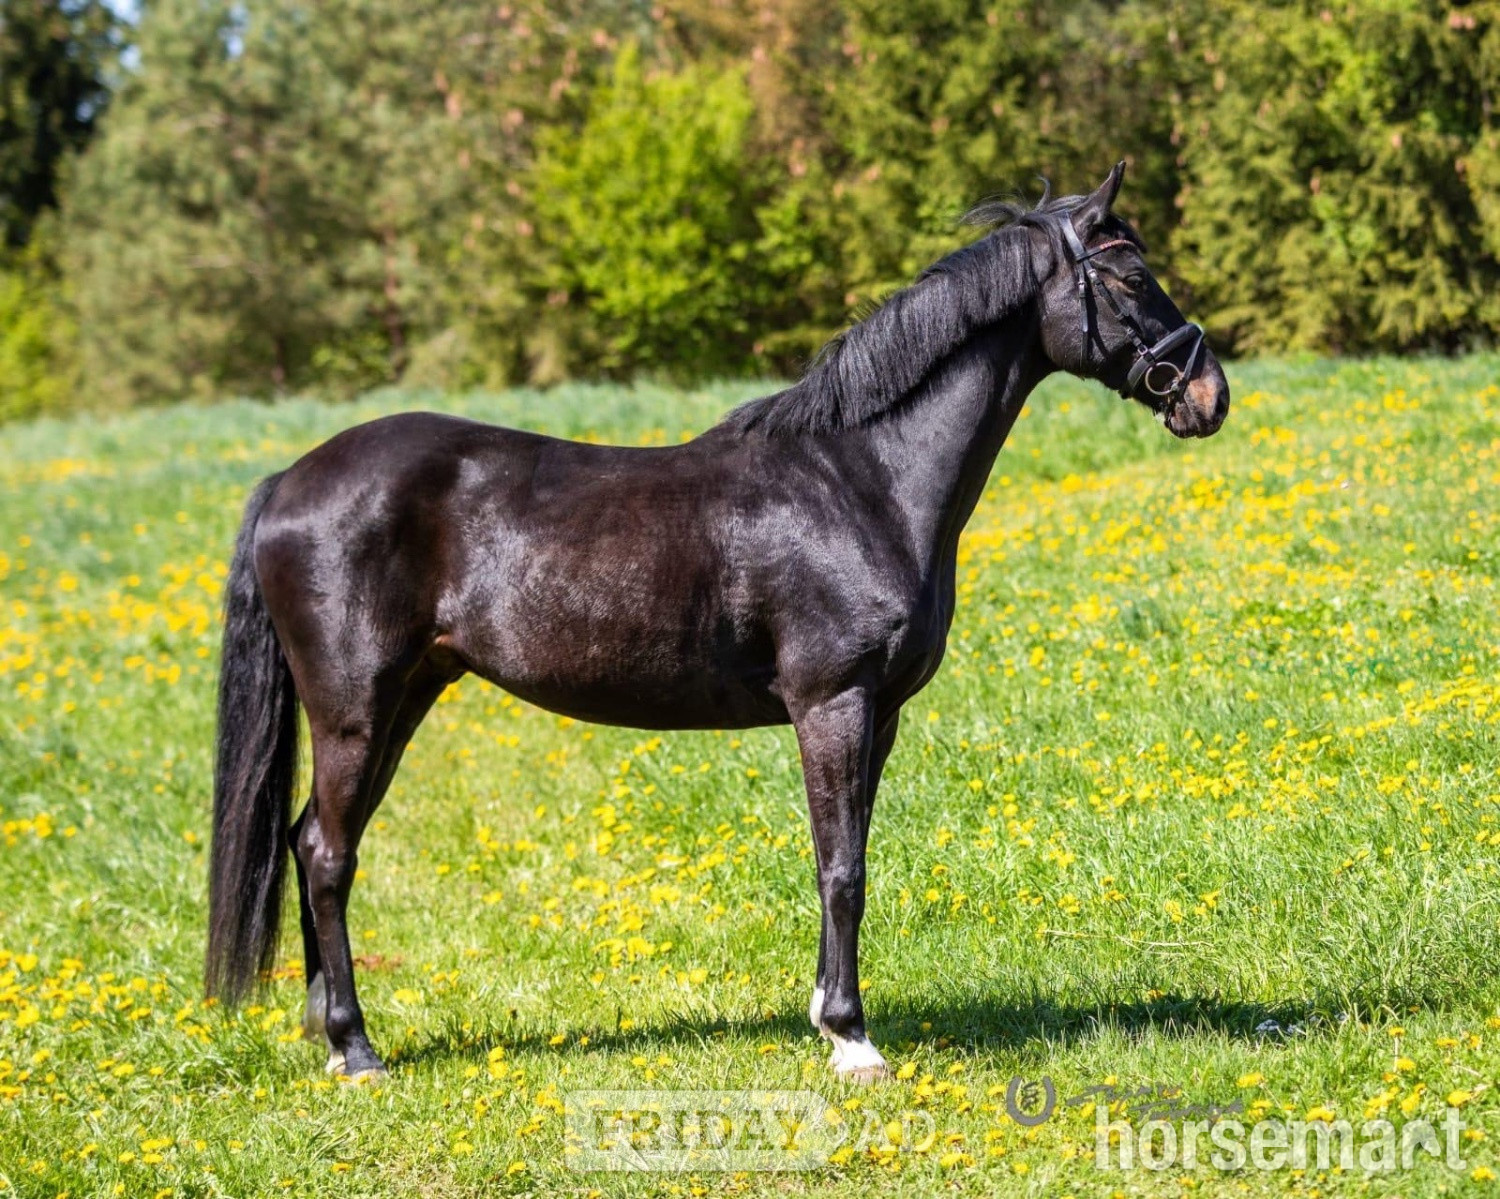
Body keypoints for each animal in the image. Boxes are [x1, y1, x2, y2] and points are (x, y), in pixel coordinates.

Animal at [206, 163, 1229, 1083]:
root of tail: (289, 481)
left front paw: (826, 1014)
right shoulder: (833, 703)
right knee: (328, 853)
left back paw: (326, 1034)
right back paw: (356, 1048)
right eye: (1130, 276)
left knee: (309, 841)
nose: (1207, 392)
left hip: (406, 697)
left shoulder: (882, 714)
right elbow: (841, 868)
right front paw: (852, 1040)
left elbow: (849, 853)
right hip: (356, 709)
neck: (860, 477)